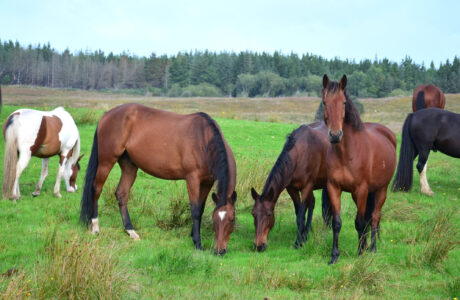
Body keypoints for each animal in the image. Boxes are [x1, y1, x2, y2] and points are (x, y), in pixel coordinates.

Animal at [250, 121, 332, 251]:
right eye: (253, 214)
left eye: (269, 214)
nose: (259, 245)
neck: (300, 154)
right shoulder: (292, 190)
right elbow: (298, 214)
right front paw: (303, 237)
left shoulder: (306, 187)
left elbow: (301, 216)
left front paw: (298, 242)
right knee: (312, 203)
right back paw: (307, 231)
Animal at [322, 75, 398, 264]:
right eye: (325, 102)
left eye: (343, 103)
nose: (335, 135)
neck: (346, 154)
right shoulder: (334, 188)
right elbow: (337, 223)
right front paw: (334, 256)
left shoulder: (361, 189)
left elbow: (360, 223)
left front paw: (359, 253)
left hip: (380, 190)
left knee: (375, 217)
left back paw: (372, 248)